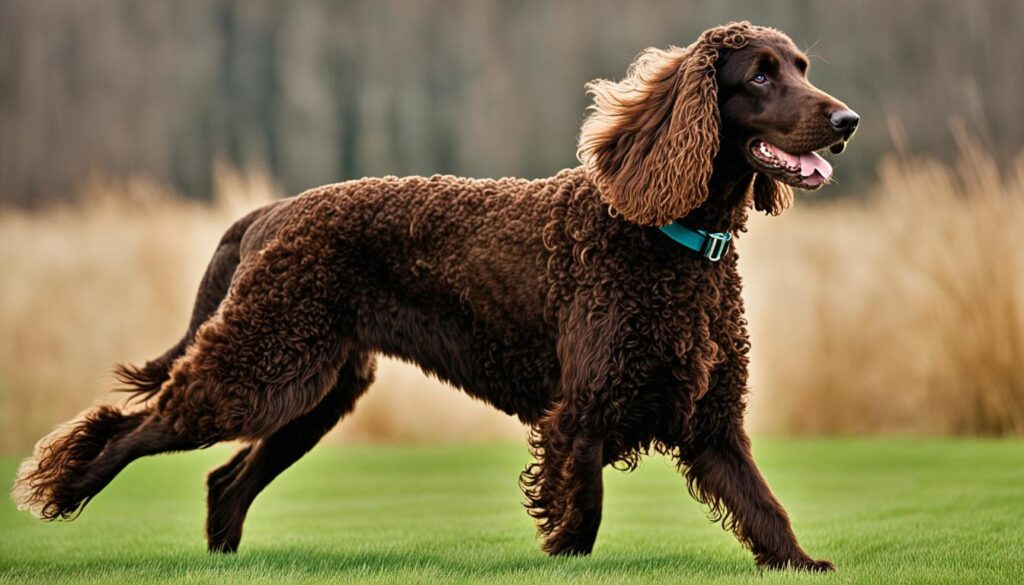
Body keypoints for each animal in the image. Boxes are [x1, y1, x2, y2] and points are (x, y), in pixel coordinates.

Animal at [14, 21, 856, 573]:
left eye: (802, 65)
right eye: (760, 75)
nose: (846, 119)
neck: (666, 240)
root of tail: (273, 211)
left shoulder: (714, 422)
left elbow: (766, 510)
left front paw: (804, 562)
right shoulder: (580, 414)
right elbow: (582, 516)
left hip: (316, 391)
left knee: (226, 478)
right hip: (260, 368)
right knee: (135, 425)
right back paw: (67, 487)